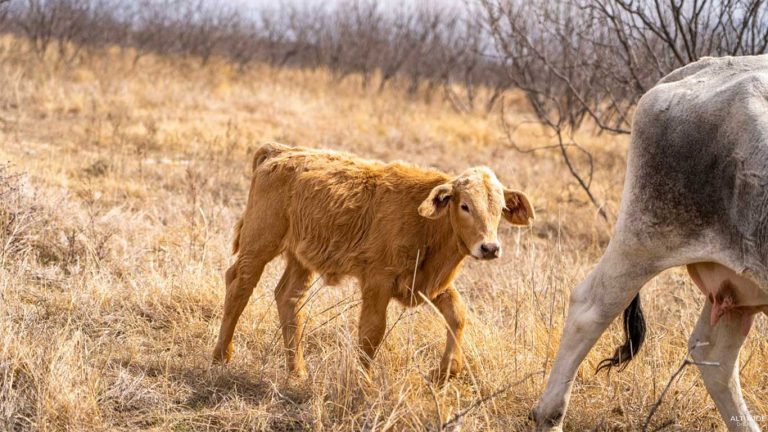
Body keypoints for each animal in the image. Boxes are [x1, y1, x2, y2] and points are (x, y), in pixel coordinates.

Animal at [212, 143, 535, 381]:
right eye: (465, 205)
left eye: (500, 209)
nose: (489, 247)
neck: (427, 223)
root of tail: (278, 151)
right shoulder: (378, 283)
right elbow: (372, 333)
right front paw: (363, 385)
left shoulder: (428, 284)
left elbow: (457, 314)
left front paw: (444, 373)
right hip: (259, 244)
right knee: (239, 286)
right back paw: (220, 357)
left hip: (300, 258)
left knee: (289, 298)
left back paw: (297, 372)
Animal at [533, 55, 768, 431]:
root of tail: (705, 65)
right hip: (645, 238)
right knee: (590, 307)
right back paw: (549, 414)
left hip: (738, 286)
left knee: (714, 355)